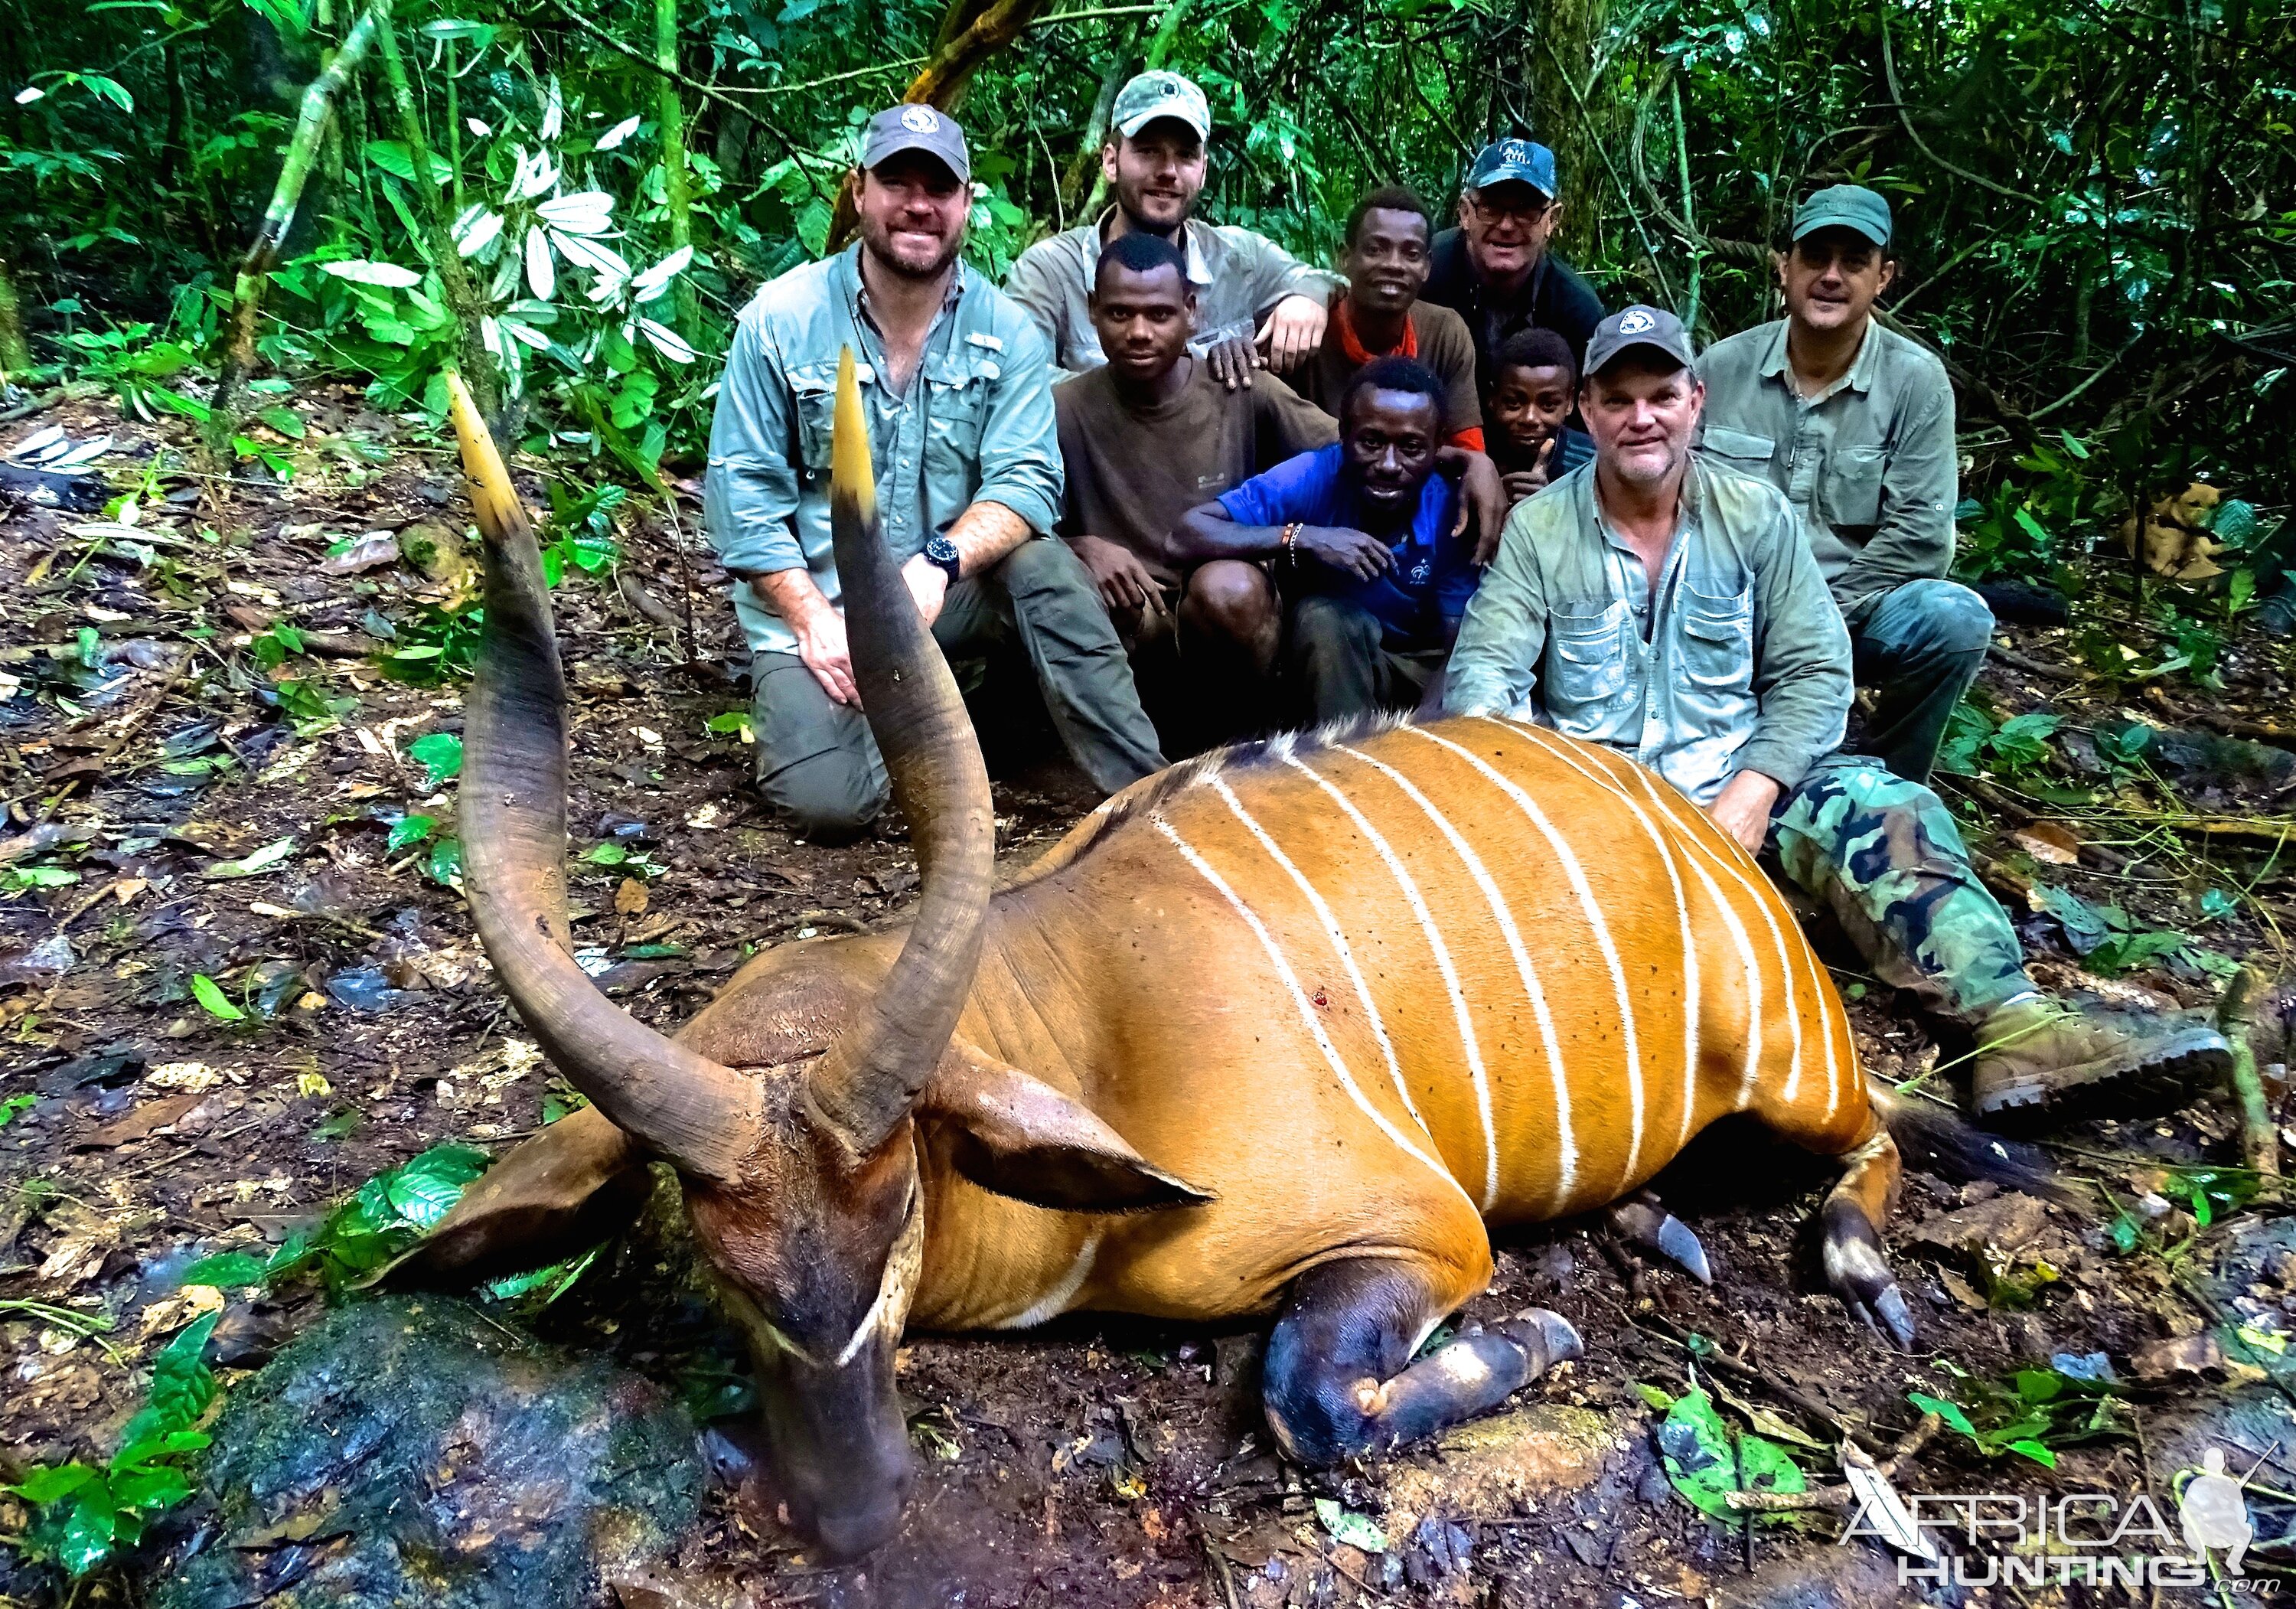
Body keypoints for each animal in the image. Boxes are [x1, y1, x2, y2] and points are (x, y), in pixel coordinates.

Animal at [418, 353, 1919, 1561]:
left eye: (897, 1207)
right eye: (717, 1259)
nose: (853, 1509)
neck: (1079, 1024)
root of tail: (1707, 831)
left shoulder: (1421, 1224)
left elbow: (1311, 1400)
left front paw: (1546, 1334)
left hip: (1794, 1074)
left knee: (1885, 1126)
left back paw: (1849, 1258)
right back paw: (1658, 1220)